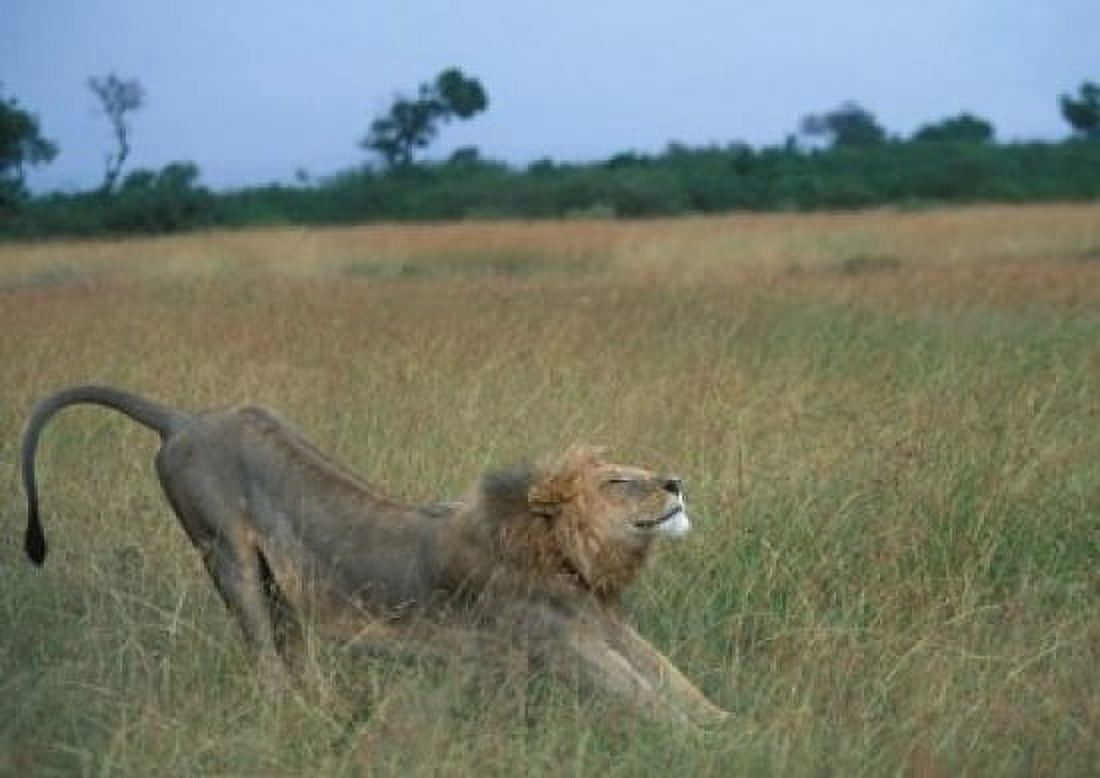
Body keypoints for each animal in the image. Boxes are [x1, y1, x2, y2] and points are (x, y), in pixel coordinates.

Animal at [21, 385, 729, 727]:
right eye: (619, 480)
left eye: (639, 469)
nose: (676, 482)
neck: (564, 556)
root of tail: (184, 419)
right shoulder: (556, 639)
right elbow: (639, 692)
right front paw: (706, 742)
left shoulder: (603, 622)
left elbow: (672, 677)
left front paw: (727, 719)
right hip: (225, 555)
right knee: (263, 652)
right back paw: (294, 716)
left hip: (280, 584)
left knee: (291, 646)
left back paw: (328, 708)